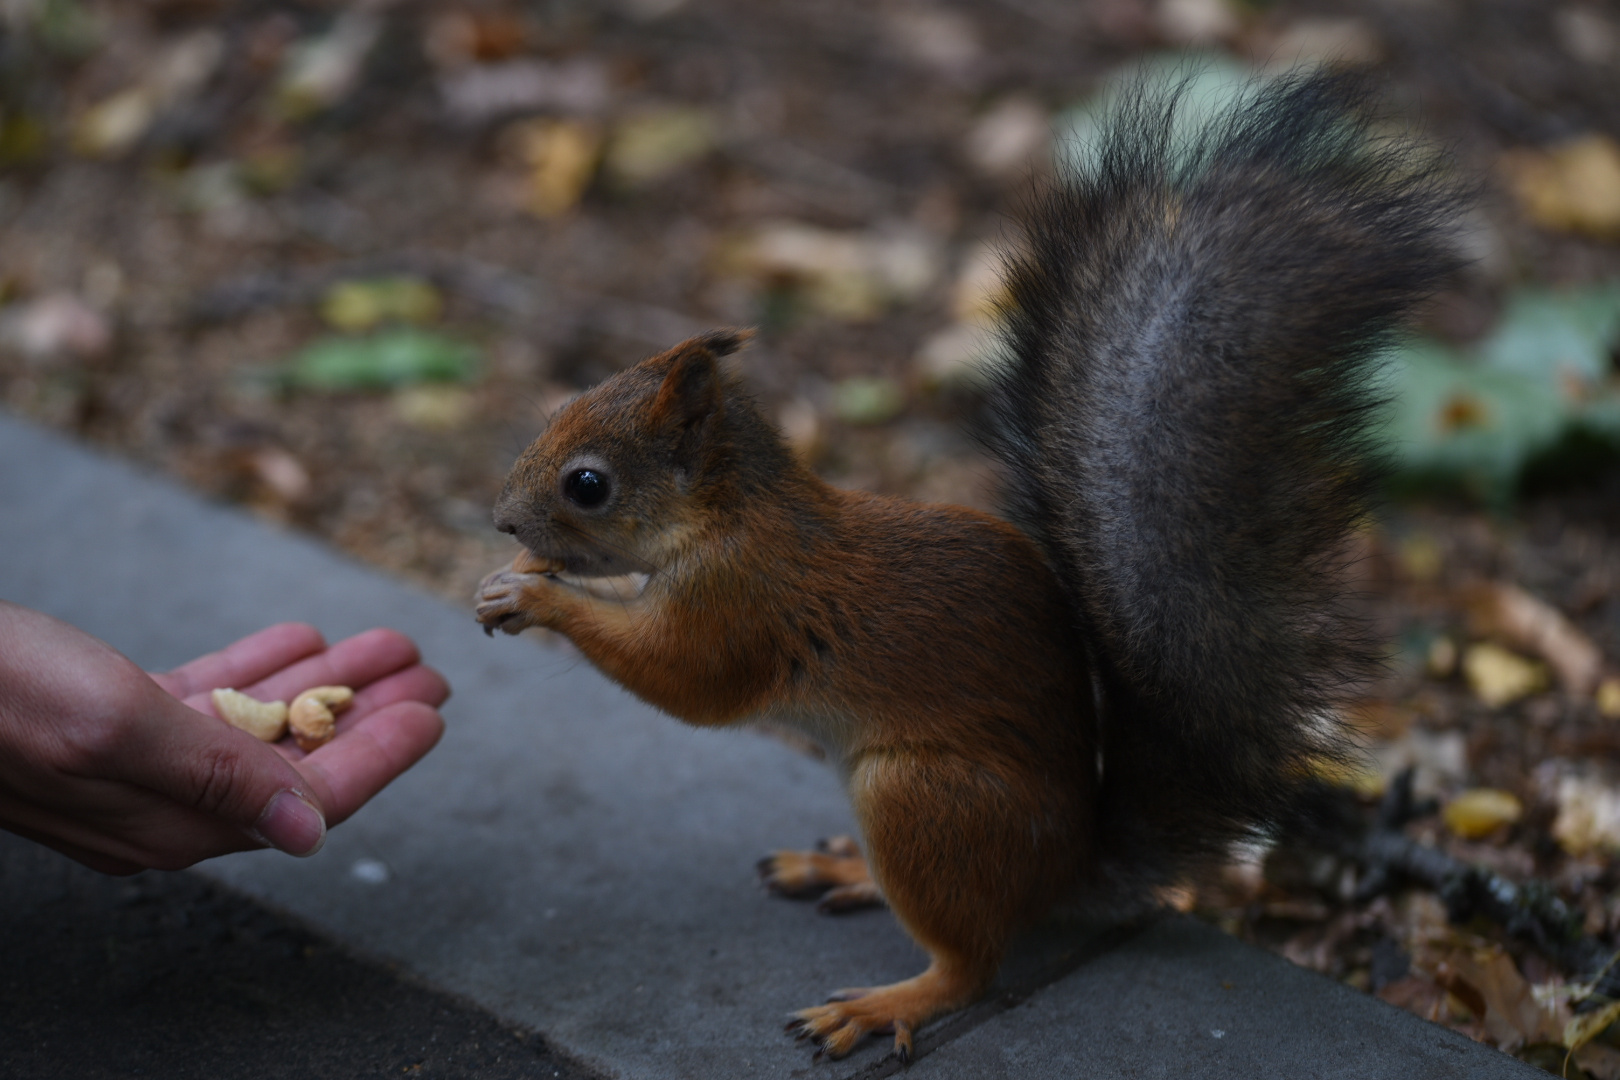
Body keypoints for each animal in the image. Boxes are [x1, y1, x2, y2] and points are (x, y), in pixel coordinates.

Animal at [475, 71, 1462, 1064]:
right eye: (562, 404)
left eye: (588, 484)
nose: (501, 517)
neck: (728, 515)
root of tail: (1066, 871)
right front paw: (511, 574)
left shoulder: (742, 604)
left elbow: (685, 682)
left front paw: (537, 595)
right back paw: (843, 869)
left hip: (921, 798)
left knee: (972, 965)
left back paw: (888, 1003)